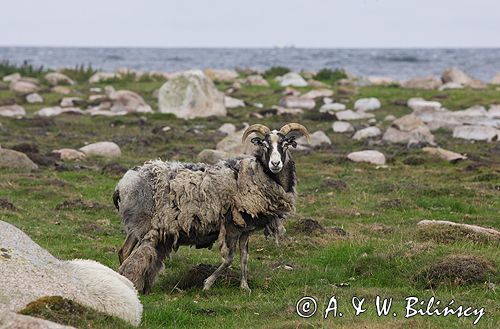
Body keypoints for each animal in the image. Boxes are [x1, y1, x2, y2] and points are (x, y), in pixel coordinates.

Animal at [114, 121, 308, 290]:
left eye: (285, 144)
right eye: (265, 145)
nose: (275, 164)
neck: (255, 175)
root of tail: (122, 184)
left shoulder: (246, 229)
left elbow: (244, 257)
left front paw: (244, 286)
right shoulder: (231, 226)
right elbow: (229, 258)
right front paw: (208, 283)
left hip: (137, 225)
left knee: (124, 250)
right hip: (142, 222)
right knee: (126, 251)